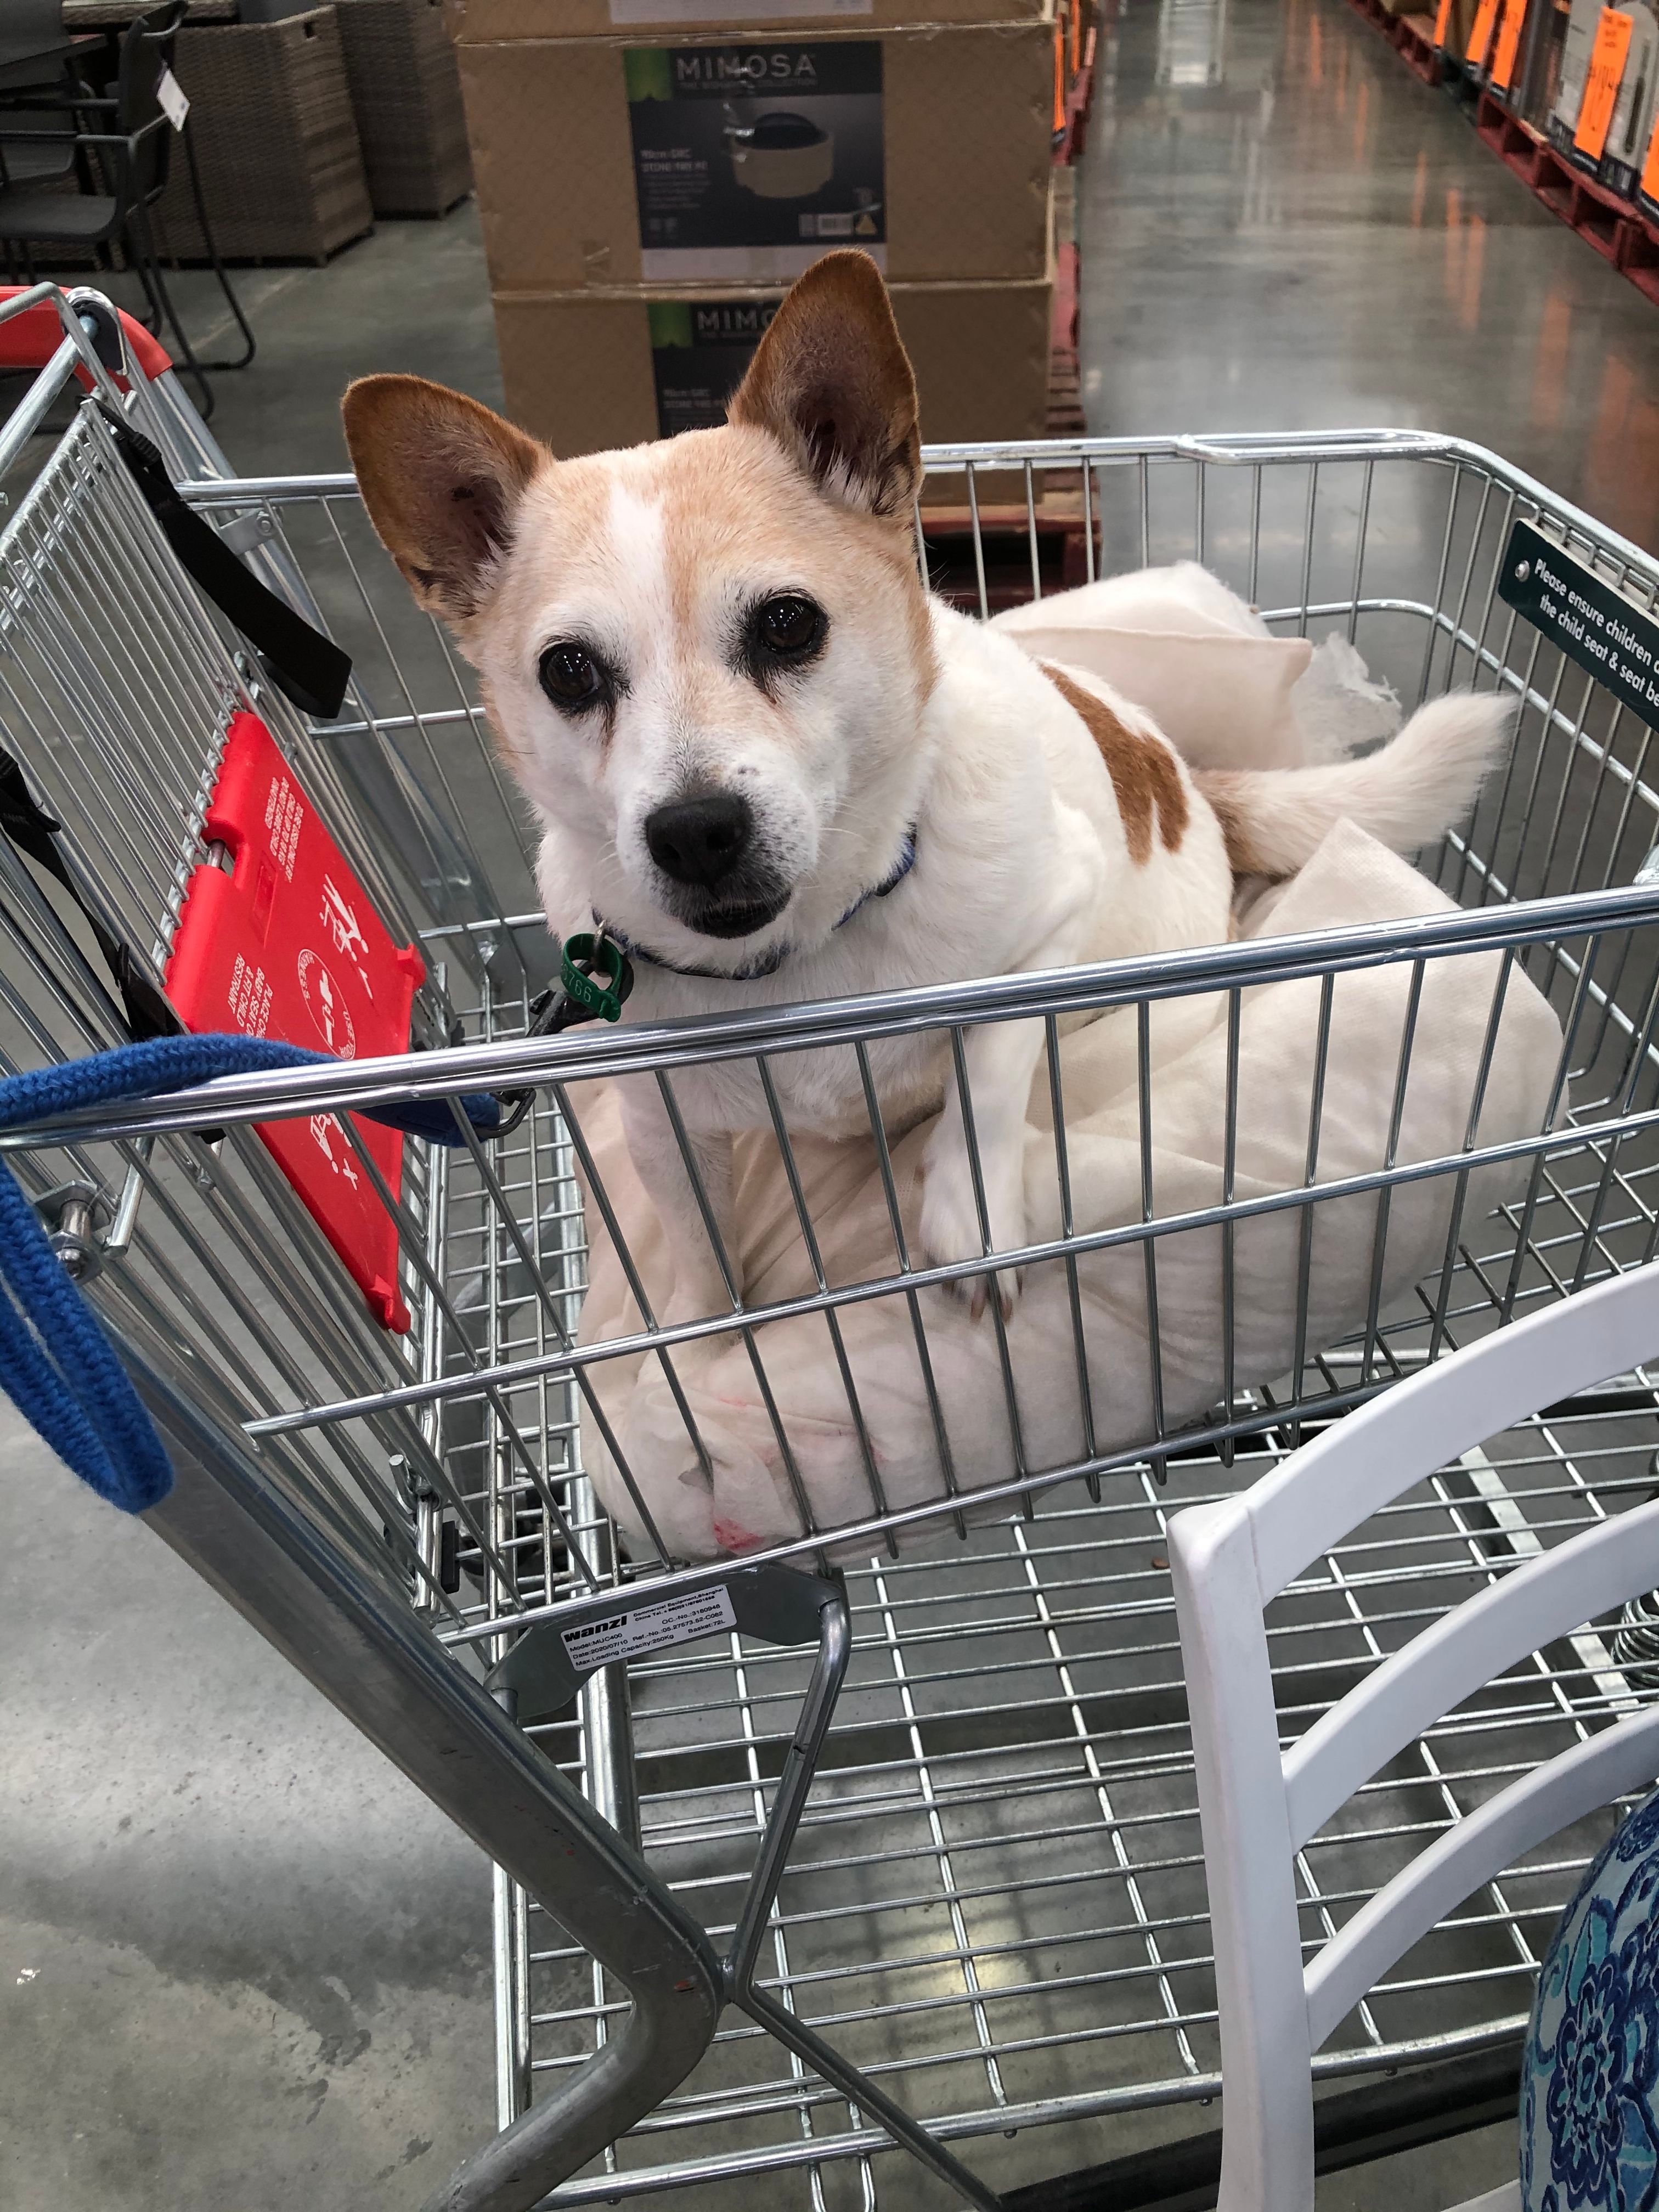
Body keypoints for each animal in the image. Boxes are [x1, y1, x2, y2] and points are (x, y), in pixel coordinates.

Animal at [345, 258, 1513, 1327]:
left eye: (788, 623)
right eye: (567, 673)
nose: (695, 831)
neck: (802, 960)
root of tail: (1192, 783)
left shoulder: (1049, 928)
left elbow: (983, 1073)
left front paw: (971, 1213)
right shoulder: (665, 1130)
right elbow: (702, 1265)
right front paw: (707, 1331)